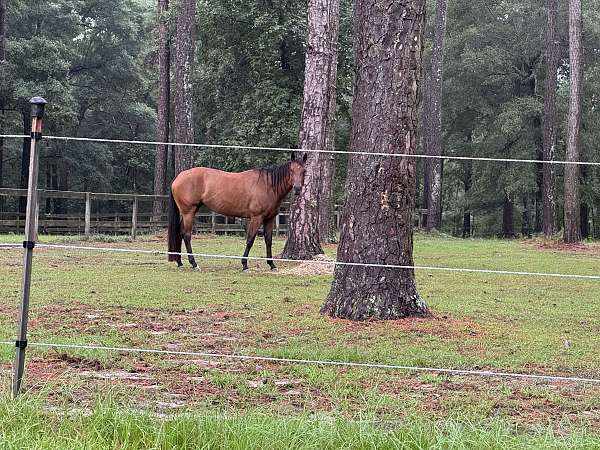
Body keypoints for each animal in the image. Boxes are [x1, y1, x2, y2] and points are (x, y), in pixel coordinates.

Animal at [166, 153, 308, 270]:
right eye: (291, 171)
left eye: (304, 171)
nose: (297, 189)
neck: (268, 185)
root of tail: (178, 177)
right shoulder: (256, 218)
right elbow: (250, 240)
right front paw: (244, 265)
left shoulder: (270, 218)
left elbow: (268, 241)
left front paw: (272, 264)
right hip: (188, 212)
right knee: (186, 235)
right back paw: (194, 264)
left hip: (188, 212)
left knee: (180, 233)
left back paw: (180, 262)